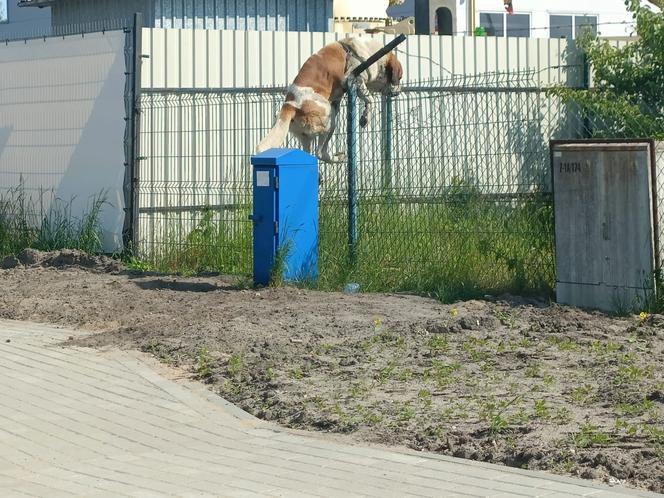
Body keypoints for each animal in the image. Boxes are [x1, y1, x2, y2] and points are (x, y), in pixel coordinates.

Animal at [255, 39, 402, 163]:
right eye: (399, 78)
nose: (399, 92)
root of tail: (290, 105)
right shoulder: (354, 78)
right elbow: (370, 99)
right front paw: (366, 118)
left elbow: (366, 99)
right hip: (329, 120)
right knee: (320, 153)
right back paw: (338, 158)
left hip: (308, 134)